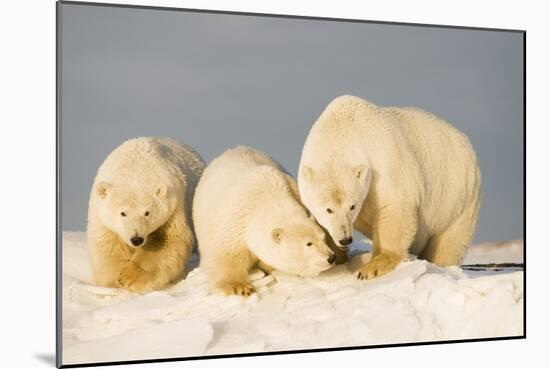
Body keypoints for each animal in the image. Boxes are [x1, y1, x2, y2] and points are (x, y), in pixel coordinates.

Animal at [88, 137, 205, 292]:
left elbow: (168, 240)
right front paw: (114, 281)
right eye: (123, 213)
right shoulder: (101, 215)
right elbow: (108, 246)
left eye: (147, 213)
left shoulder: (173, 207)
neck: (135, 170)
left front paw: (128, 278)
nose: (136, 239)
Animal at [196, 145, 338, 294]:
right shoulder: (233, 223)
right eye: (308, 243)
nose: (331, 257)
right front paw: (240, 287)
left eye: (323, 238)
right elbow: (226, 256)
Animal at [298, 95, 484, 278]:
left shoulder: (383, 163)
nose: (345, 239)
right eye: (328, 209)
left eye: (352, 206)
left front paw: (374, 266)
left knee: (448, 243)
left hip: (456, 199)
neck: (340, 129)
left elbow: (394, 208)